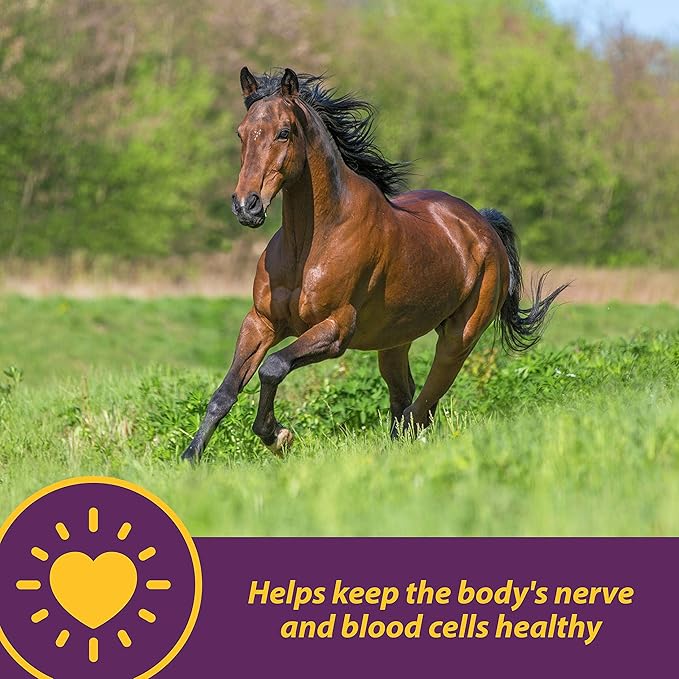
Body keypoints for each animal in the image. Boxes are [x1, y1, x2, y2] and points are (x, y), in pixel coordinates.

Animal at [181, 67, 567, 461]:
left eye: (284, 132)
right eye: (241, 132)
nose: (247, 206)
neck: (309, 244)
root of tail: (484, 225)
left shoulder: (336, 329)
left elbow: (273, 367)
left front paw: (278, 436)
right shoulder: (261, 322)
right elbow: (225, 392)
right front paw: (191, 457)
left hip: (459, 338)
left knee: (422, 406)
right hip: (395, 340)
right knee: (405, 396)